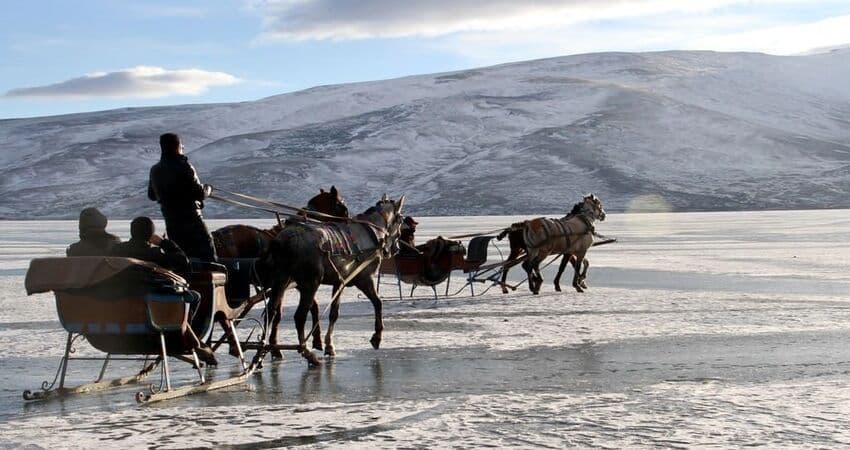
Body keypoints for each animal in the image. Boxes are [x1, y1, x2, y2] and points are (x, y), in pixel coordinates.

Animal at [210, 186, 349, 353]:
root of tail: (215, 238)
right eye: (342, 207)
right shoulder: (290, 282)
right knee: (222, 314)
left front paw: (316, 340)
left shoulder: (292, 283)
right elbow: (280, 313)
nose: (348, 225)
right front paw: (275, 347)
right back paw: (232, 344)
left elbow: (308, 307)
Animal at [259, 195, 405, 364]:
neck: (371, 232)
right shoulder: (364, 278)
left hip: (280, 281)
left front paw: (329, 345)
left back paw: (263, 349)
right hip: (310, 283)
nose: (396, 249)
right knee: (299, 316)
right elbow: (378, 302)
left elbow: (334, 313)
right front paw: (377, 336)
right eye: (401, 220)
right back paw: (306, 351)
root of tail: (283, 240)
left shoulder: (339, 282)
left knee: (271, 312)